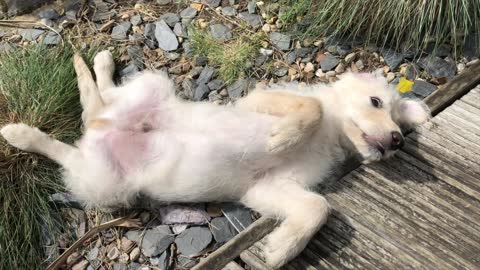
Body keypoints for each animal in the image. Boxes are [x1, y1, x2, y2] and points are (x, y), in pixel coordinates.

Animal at [0, 50, 428, 268]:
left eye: (401, 123)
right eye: (376, 102)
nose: (396, 141)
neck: (332, 138)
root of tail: (102, 132)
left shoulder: (269, 186)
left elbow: (317, 207)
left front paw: (280, 249)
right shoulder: (260, 100)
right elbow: (311, 107)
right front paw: (282, 137)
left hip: (106, 164)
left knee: (94, 109)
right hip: (108, 177)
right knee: (82, 123)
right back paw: (22, 132)